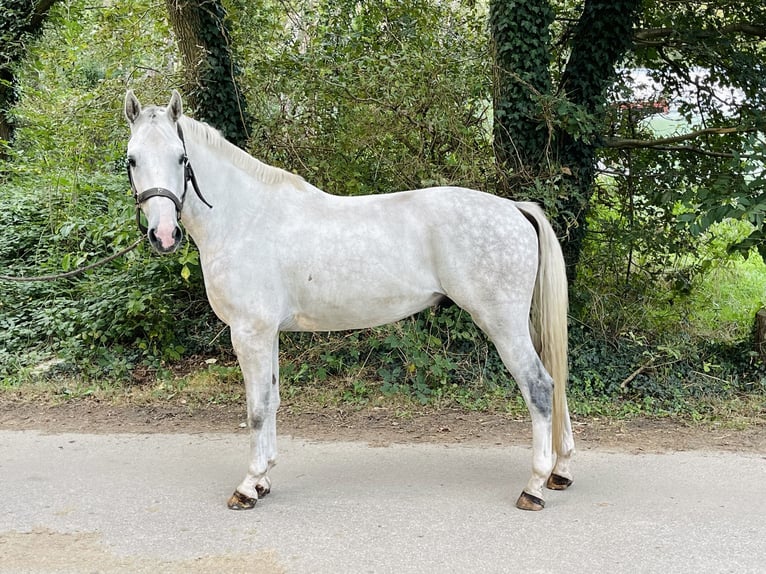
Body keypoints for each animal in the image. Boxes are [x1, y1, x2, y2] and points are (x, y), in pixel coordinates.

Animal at [124, 91, 576, 512]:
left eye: (182, 158)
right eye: (132, 160)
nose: (164, 235)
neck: (245, 217)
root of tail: (515, 208)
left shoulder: (249, 332)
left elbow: (256, 408)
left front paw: (247, 486)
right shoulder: (267, 333)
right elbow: (272, 400)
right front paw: (264, 479)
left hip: (501, 323)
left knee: (539, 386)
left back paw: (534, 487)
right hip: (523, 323)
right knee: (555, 380)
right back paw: (561, 471)